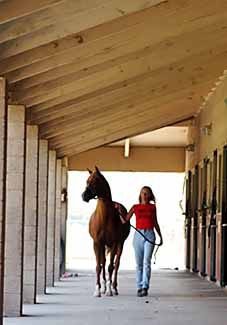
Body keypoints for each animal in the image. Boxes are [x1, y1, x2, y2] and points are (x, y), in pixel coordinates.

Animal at [82, 167, 130, 296]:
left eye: (96, 180)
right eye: (87, 181)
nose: (84, 196)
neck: (104, 218)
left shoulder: (114, 243)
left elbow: (110, 267)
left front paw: (109, 290)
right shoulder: (97, 243)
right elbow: (99, 266)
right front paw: (98, 290)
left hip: (120, 244)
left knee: (116, 264)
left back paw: (114, 287)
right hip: (103, 245)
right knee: (103, 261)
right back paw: (103, 287)